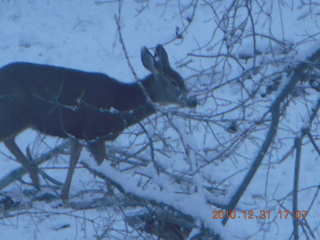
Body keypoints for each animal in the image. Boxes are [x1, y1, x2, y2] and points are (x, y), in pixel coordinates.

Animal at [0, 44, 196, 200]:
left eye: (183, 80)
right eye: (173, 83)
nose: (193, 100)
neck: (120, 105)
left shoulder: (78, 134)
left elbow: (75, 160)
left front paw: (64, 196)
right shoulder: (93, 131)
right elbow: (103, 166)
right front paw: (112, 196)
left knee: (9, 140)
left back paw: (35, 178)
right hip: (14, 114)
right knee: (7, 138)